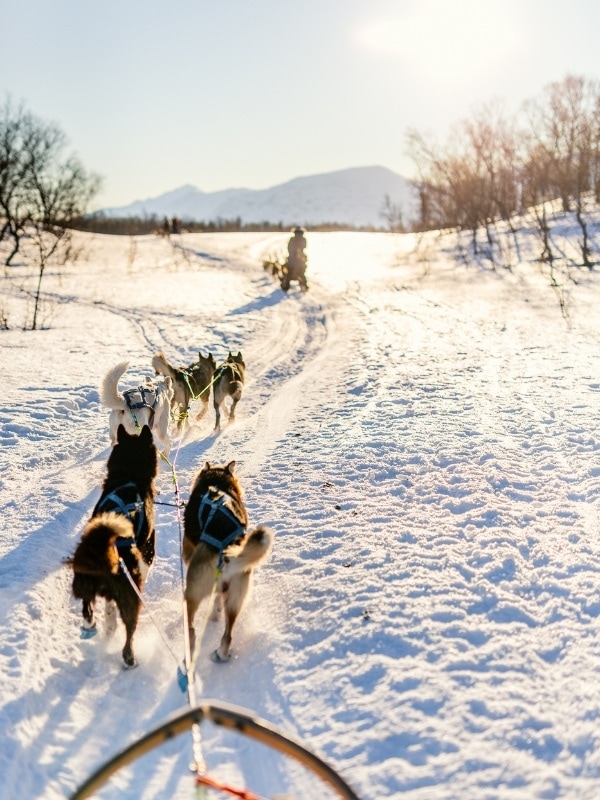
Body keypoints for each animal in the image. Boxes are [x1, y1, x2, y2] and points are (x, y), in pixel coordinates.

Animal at [69, 424, 158, 668]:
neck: (128, 476)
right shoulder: (148, 551)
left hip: (84, 582)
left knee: (87, 608)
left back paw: (90, 626)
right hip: (131, 596)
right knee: (129, 632)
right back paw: (130, 659)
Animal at [183, 462, 274, 664]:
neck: (217, 482)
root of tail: (226, 554)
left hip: (192, 593)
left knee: (191, 629)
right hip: (235, 599)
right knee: (228, 635)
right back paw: (221, 653)